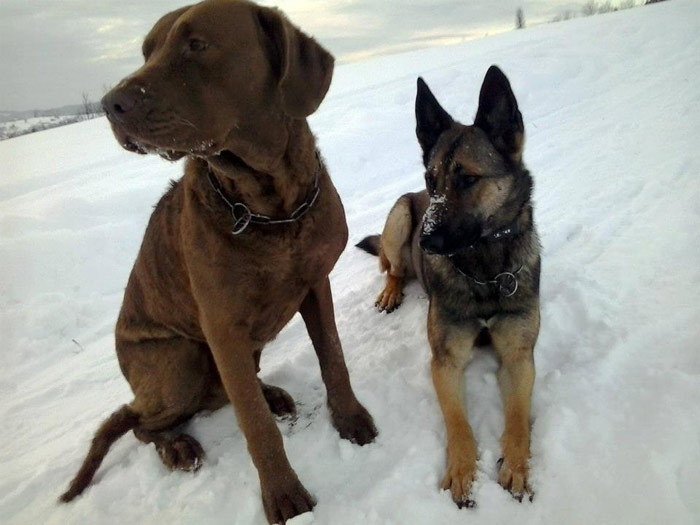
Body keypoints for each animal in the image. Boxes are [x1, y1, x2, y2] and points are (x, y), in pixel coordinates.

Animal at [60, 1, 377, 522]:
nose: (110, 104)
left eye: (197, 44)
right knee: (144, 422)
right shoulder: (222, 326)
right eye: (146, 51)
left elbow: (333, 358)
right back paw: (176, 446)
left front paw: (350, 418)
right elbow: (254, 424)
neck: (270, 208)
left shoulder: (315, 284)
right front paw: (285, 496)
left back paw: (270, 393)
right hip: (181, 361)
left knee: (227, 391)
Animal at [357, 66, 540, 507]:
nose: (424, 242)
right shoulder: (445, 361)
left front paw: (517, 466)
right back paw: (391, 291)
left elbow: (518, 417)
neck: (485, 271)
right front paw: (461, 472)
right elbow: (458, 422)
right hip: (399, 218)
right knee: (392, 267)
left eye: (468, 179)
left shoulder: (519, 356)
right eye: (431, 179)